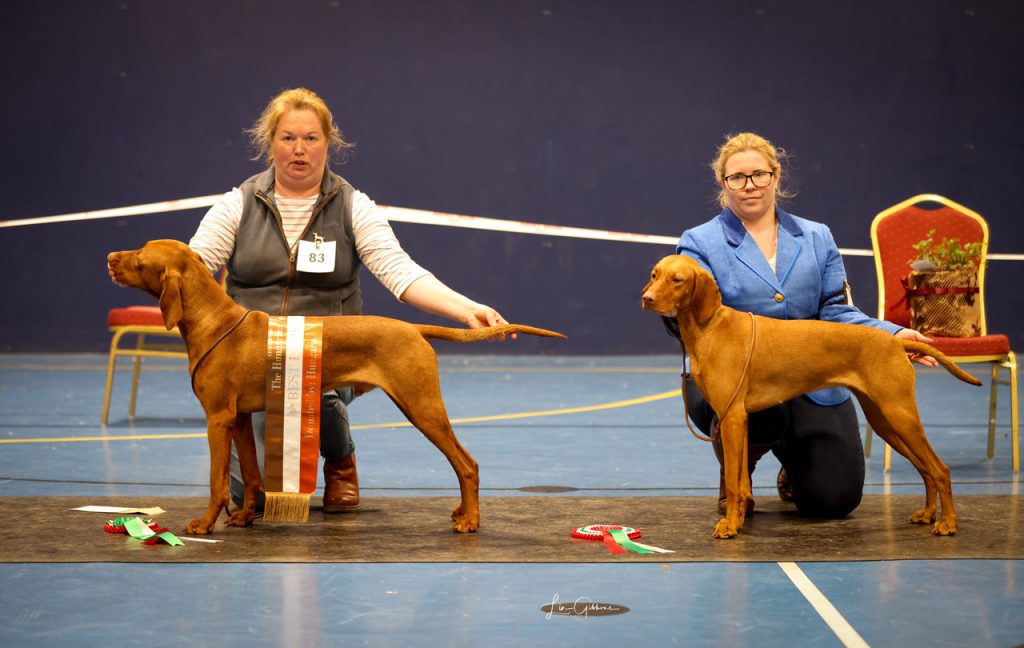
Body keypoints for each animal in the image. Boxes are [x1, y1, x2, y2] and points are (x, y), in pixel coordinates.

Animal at [108, 240, 565, 532]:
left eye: (140, 257)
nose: (110, 256)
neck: (214, 322)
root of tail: (412, 327)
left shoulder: (217, 418)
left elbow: (217, 481)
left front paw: (205, 524)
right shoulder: (238, 419)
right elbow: (251, 476)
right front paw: (243, 518)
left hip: (422, 405)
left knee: (467, 464)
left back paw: (470, 521)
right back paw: (462, 513)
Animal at [634, 254, 978, 536]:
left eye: (677, 280)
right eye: (653, 274)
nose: (646, 298)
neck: (710, 327)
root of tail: (896, 342)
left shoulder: (731, 417)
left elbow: (733, 482)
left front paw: (729, 526)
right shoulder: (737, 420)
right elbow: (741, 481)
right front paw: (739, 519)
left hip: (900, 415)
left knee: (940, 469)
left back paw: (947, 524)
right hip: (885, 422)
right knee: (926, 470)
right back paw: (928, 514)